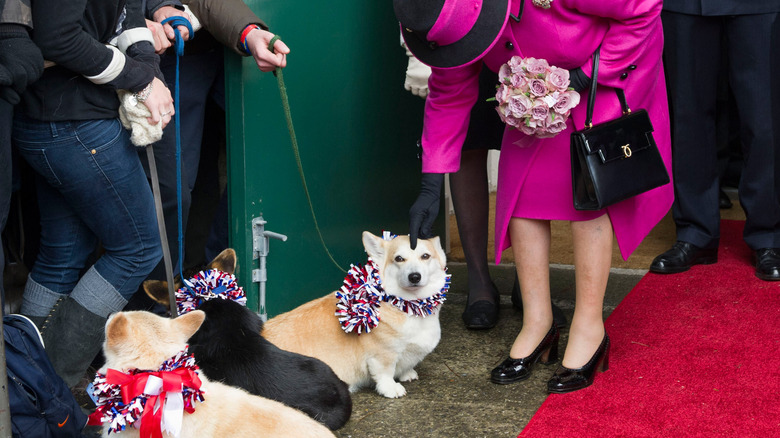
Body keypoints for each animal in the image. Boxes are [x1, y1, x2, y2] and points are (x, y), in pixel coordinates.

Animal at [262, 231, 448, 398]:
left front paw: (407, 374)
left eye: (425, 256)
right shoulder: (382, 355)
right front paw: (391, 389)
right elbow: (385, 373)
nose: (414, 277)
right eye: (399, 259)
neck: (410, 305)